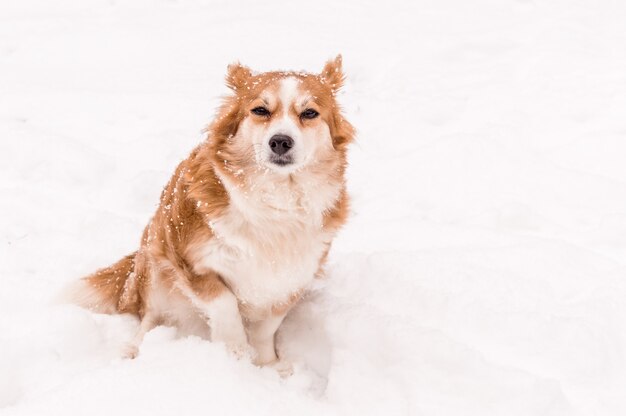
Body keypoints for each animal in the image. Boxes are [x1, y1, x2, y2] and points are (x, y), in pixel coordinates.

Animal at [66, 54, 354, 370]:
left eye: (310, 113)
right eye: (260, 110)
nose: (280, 141)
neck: (276, 196)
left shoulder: (292, 276)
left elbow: (267, 326)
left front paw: (266, 365)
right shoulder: (187, 258)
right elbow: (224, 304)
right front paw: (236, 355)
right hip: (153, 264)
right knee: (149, 318)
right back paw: (134, 350)